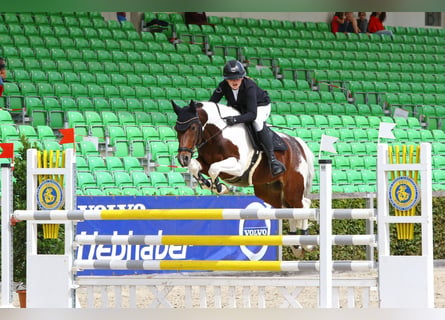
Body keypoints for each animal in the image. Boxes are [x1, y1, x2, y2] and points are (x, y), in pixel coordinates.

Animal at [172, 100, 314, 258]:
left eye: (193, 127)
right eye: (176, 129)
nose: (182, 159)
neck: (217, 135)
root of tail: (298, 144)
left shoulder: (238, 167)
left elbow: (214, 168)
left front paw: (219, 187)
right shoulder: (204, 162)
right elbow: (195, 167)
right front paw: (207, 183)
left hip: (292, 187)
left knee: (303, 204)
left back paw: (306, 243)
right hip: (270, 192)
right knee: (289, 209)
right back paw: (296, 245)